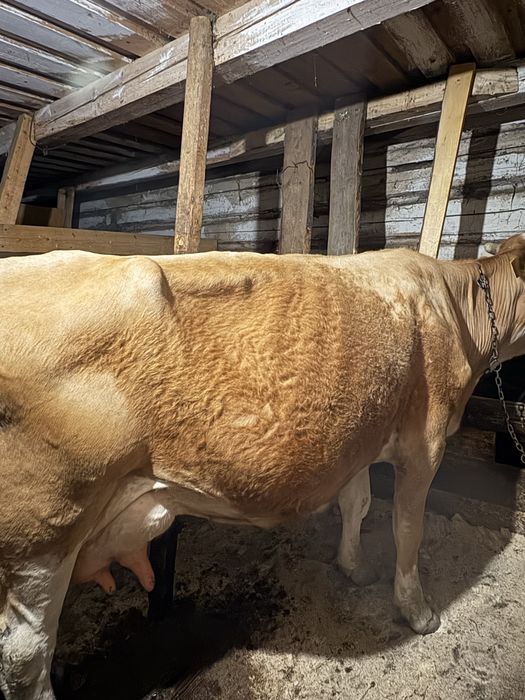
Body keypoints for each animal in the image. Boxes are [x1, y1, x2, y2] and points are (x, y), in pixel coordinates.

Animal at [1, 233, 525, 699]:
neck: (458, 309)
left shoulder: (361, 433)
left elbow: (357, 504)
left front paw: (354, 567)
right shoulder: (426, 441)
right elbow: (408, 528)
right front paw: (418, 613)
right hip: (43, 536)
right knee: (25, 661)